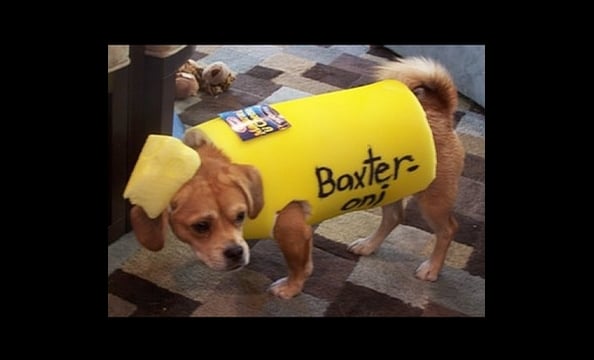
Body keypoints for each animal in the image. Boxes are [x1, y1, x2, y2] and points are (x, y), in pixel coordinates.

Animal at [128, 56, 462, 298]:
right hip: (392, 184)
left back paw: (432, 268)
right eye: (200, 227)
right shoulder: (300, 229)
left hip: (433, 197)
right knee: (394, 216)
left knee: (447, 230)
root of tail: (437, 108)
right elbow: (305, 259)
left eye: (239, 216)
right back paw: (369, 245)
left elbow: (297, 265)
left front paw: (291, 288)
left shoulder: (291, 229)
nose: (236, 253)